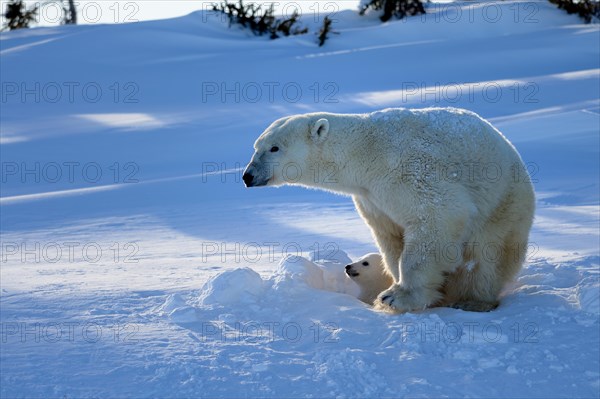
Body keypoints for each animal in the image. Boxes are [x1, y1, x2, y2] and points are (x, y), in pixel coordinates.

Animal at [243, 108, 536, 314]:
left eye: (274, 148)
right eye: (256, 147)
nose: (248, 176)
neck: (365, 153)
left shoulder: (409, 171)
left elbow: (438, 216)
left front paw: (397, 296)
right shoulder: (371, 198)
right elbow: (390, 235)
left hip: (504, 203)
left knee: (488, 256)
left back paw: (474, 301)